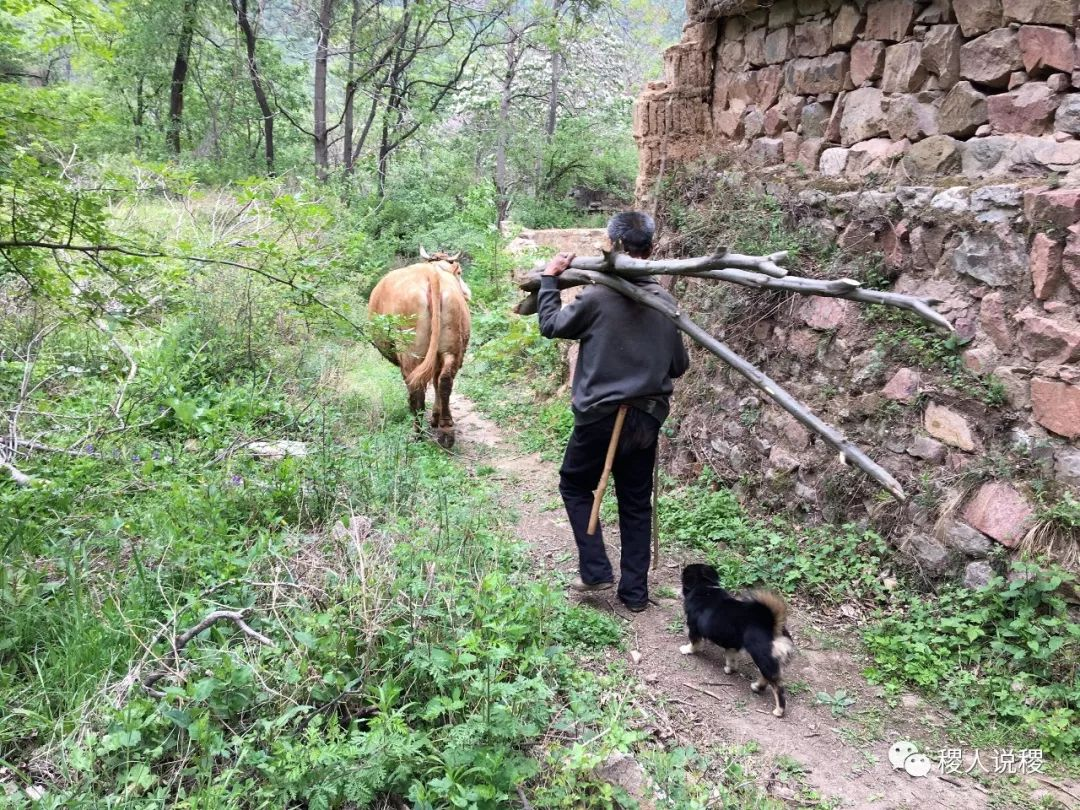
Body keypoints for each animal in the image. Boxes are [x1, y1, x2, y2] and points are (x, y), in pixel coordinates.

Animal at [369, 247, 470, 451]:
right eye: (460, 273)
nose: (467, 293)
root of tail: (431, 275)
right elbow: (437, 381)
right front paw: (436, 418)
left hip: (410, 349)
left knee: (415, 385)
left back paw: (417, 432)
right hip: (451, 346)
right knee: (444, 381)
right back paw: (446, 431)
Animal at [682, 565, 794, 717]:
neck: (705, 587)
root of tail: (771, 624)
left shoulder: (694, 628)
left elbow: (694, 644)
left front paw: (686, 650)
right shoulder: (731, 644)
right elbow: (731, 658)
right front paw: (730, 669)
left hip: (762, 657)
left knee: (778, 687)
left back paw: (778, 710)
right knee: (769, 678)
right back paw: (757, 687)